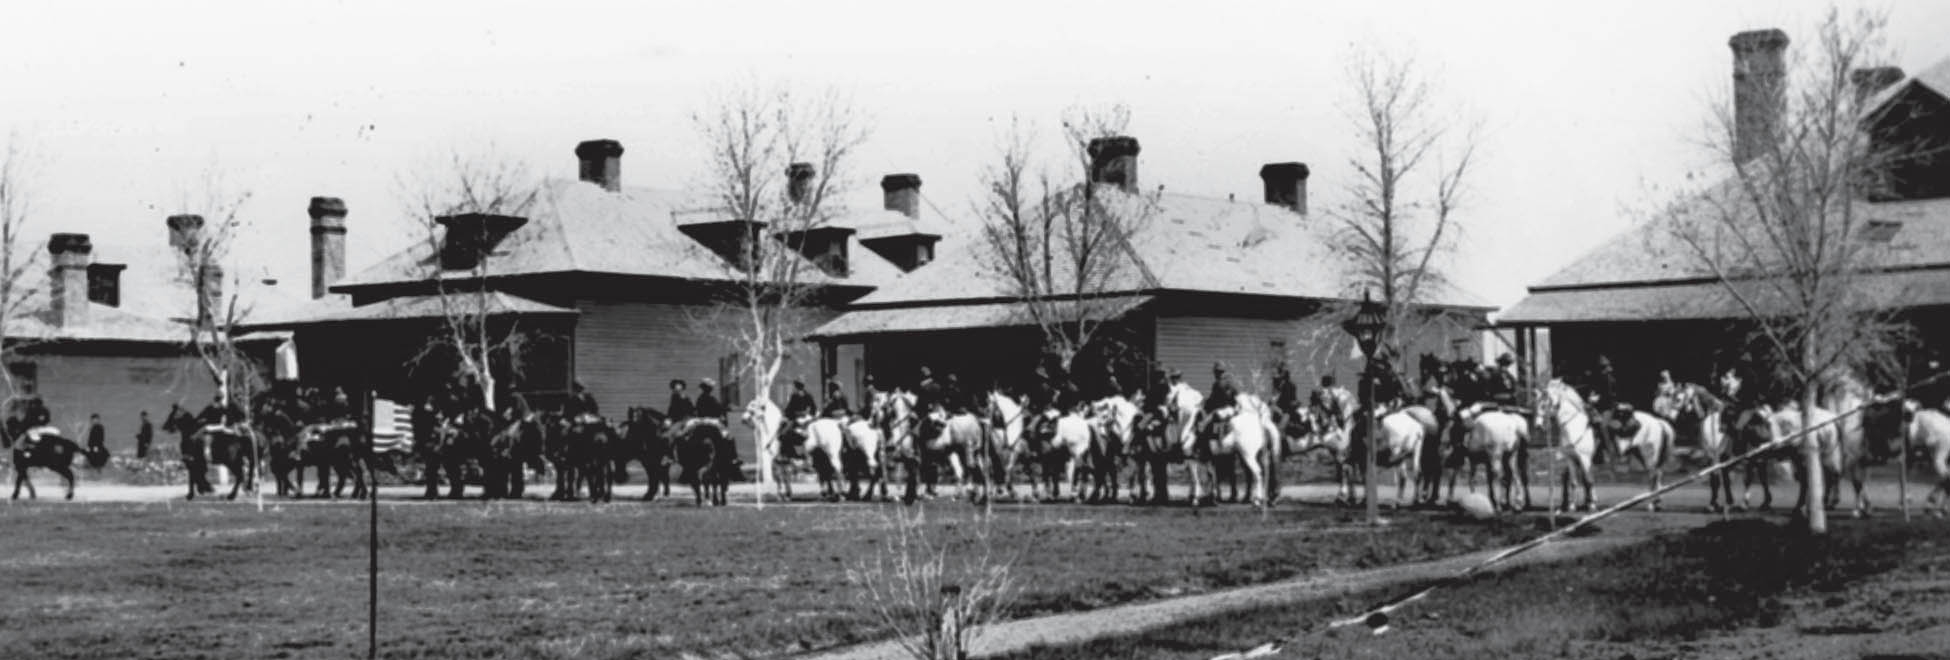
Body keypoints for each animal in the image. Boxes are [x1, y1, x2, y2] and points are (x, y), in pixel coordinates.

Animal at [1536, 378, 1599, 511]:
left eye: (1544, 405)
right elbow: (1574, 482)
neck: (1574, 426)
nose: (1538, 426)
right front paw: (1572, 505)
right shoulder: (1571, 459)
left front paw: (1592, 504)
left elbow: (1588, 480)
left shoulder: (1585, 458)